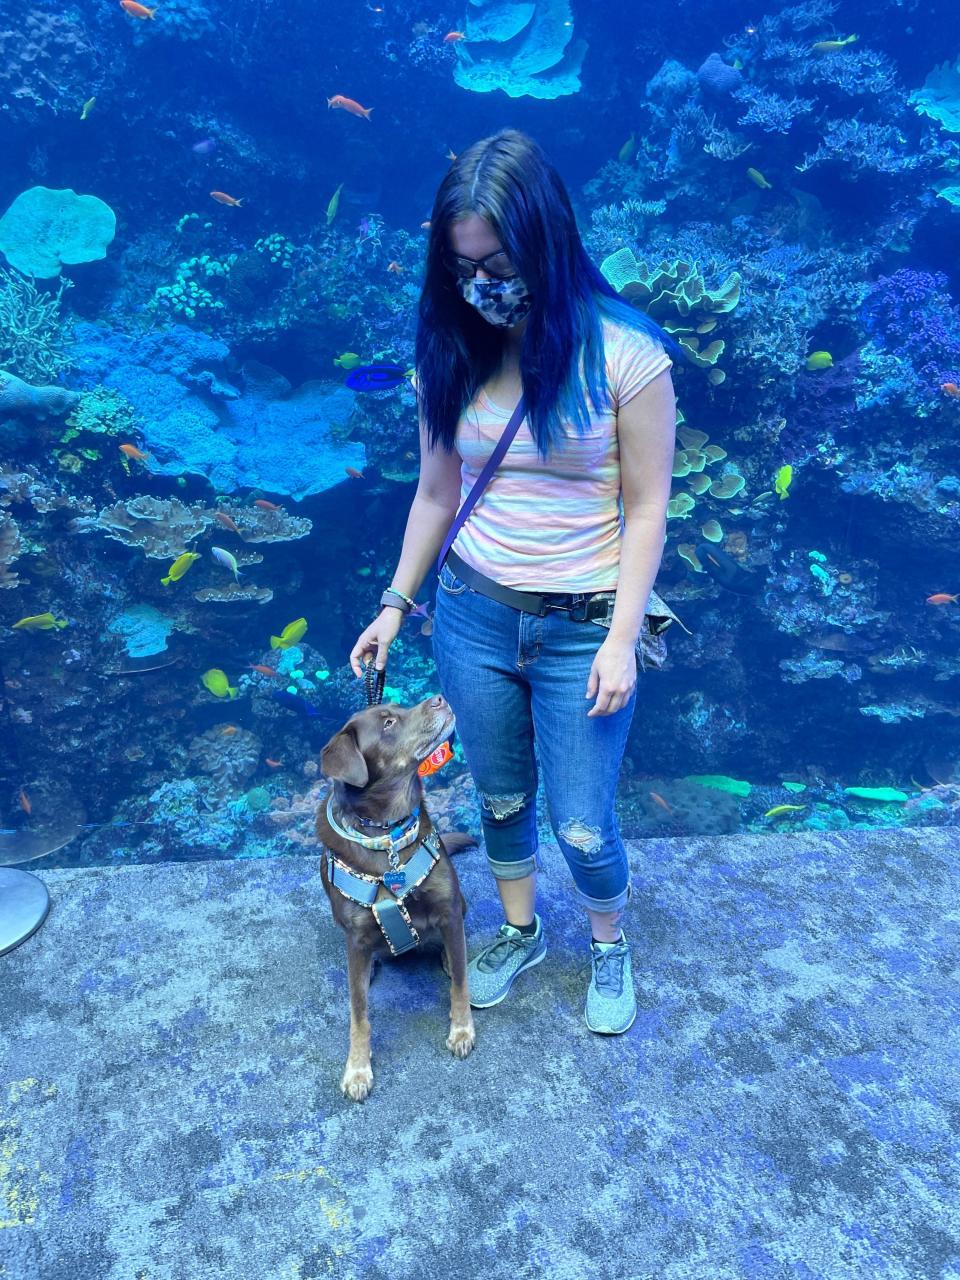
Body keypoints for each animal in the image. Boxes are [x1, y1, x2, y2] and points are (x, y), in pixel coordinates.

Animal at [317, 691, 478, 1100]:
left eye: (399, 707)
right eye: (388, 723)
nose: (438, 698)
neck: (386, 836)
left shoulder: (448, 907)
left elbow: (460, 983)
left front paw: (461, 1030)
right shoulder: (357, 937)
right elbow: (359, 1014)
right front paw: (357, 1069)